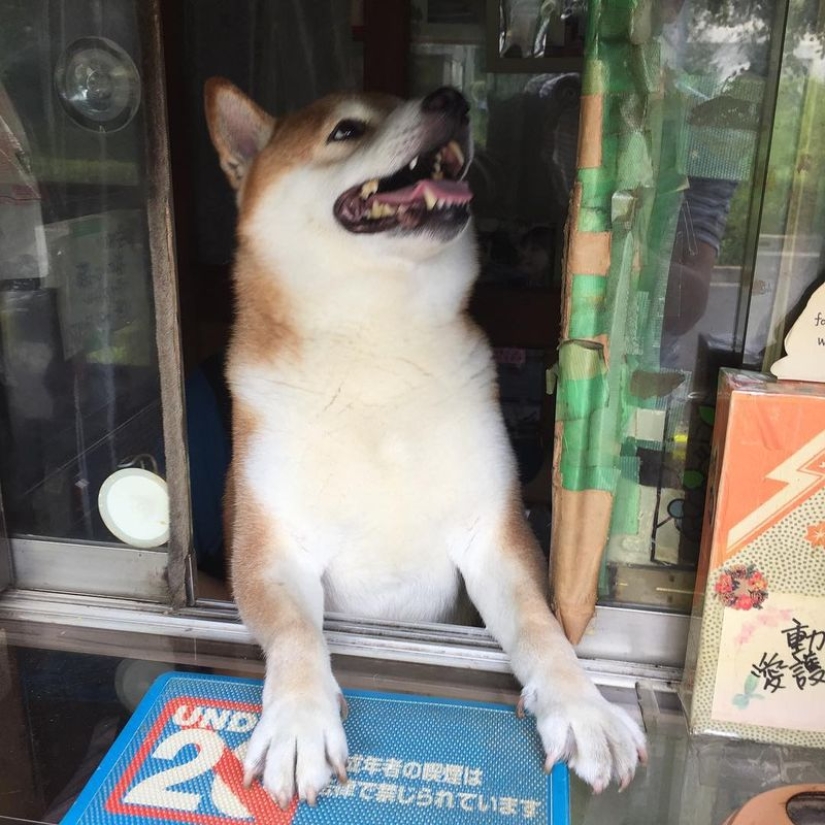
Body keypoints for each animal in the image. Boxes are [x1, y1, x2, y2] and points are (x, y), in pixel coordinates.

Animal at [204, 82, 644, 804]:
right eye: (346, 129)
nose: (452, 99)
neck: (377, 349)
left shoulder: (492, 536)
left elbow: (541, 627)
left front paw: (582, 708)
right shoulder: (270, 546)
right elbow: (296, 632)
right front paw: (298, 720)